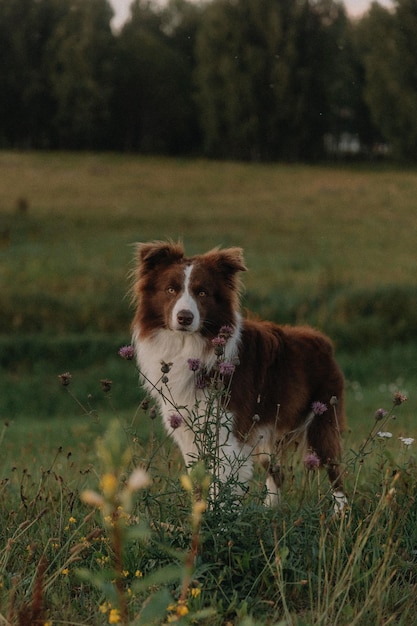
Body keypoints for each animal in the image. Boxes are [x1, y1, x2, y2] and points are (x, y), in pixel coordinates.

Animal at [132, 239, 346, 508]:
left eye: (202, 293)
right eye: (170, 290)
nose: (184, 318)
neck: (190, 345)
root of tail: (322, 340)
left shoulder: (228, 430)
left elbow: (222, 483)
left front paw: (219, 515)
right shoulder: (188, 430)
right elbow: (198, 477)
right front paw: (200, 512)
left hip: (323, 416)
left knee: (334, 468)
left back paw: (341, 513)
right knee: (276, 470)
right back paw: (271, 510)